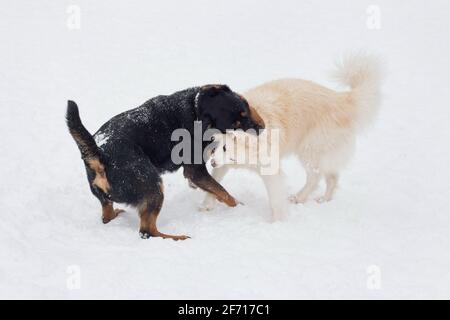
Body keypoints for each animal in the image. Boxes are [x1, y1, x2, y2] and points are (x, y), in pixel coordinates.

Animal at [66, 85, 264, 240]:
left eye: (246, 106)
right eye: (236, 124)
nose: (261, 128)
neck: (196, 109)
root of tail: (99, 155)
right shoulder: (196, 171)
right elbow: (224, 193)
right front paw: (239, 208)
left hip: (107, 197)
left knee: (107, 216)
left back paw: (116, 215)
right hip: (153, 187)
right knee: (147, 231)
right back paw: (177, 238)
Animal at [202, 54, 382, 220]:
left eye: (226, 147)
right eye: (214, 145)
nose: (212, 162)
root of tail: (341, 99)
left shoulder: (270, 169)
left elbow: (275, 198)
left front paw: (277, 221)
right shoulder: (223, 164)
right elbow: (215, 183)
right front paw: (207, 205)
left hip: (309, 150)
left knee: (315, 177)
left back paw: (300, 197)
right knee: (332, 177)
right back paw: (324, 199)